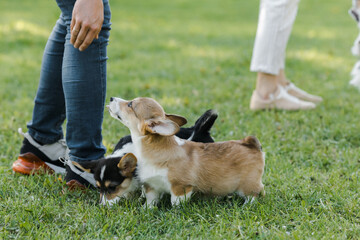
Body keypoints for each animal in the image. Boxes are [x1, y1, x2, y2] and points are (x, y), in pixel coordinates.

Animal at [107, 96, 264, 207]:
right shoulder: (151, 186)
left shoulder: (180, 187)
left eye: (130, 104)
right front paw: (146, 210)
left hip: (248, 184)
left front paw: (175, 213)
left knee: (255, 193)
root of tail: (250, 143)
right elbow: (150, 201)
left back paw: (247, 205)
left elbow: (176, 203)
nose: (111, 98)